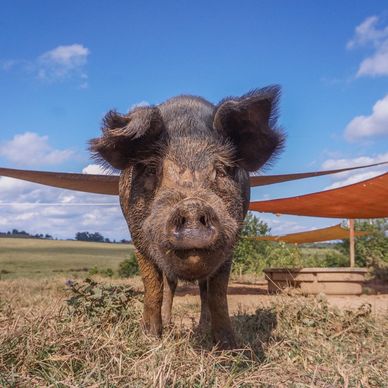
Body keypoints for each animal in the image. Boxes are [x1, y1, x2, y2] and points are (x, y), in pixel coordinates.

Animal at [89, 85, 284, 348]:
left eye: (221, 170)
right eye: (152, 169)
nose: (192, 205)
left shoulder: (230, 245)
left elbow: (217, 293)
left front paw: (229, 347)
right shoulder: (137, 240)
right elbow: (153, 287)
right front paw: (150, 338)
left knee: (203, 289)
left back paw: (201, 330)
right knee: (170, 286)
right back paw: (169, 325)